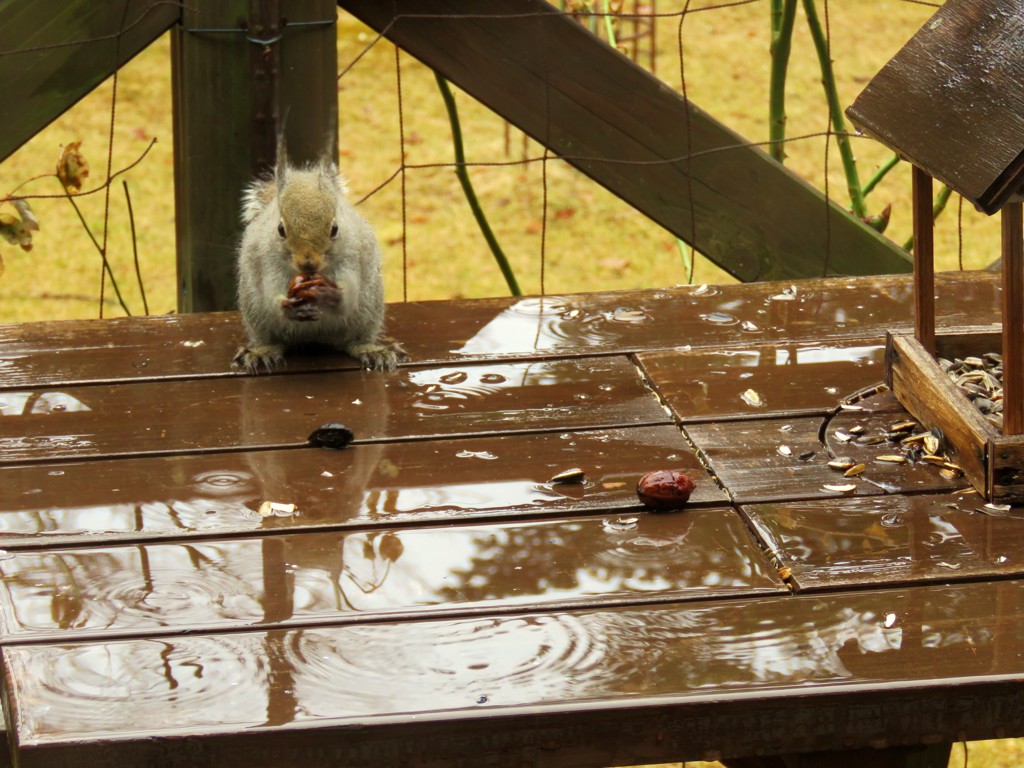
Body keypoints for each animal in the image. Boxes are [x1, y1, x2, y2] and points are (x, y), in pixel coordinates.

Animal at [232, 137, 403, 374]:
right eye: (281, 229)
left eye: (334, 228)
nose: (308, 263)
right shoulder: (266, 260)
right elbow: (270, 293)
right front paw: (285, 305)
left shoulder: (353, 256)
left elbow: (349, 294)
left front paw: (331, 295)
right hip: (255, 313)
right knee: (272, 338)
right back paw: (263, 352)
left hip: (368, 311)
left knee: (353, 340)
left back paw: (370, 350)